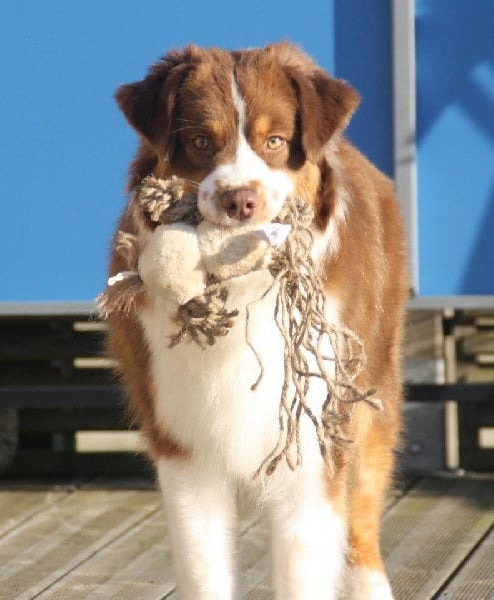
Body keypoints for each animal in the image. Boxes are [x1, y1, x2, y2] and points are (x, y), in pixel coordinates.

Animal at [107, 42, 407, 599]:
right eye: (201, 141)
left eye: (275, 141)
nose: (240, 201)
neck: (243, 294)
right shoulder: (183, 443)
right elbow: (205, 568)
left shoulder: (312, 441)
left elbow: (306, 565)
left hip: (370, 396)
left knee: (362, 514)